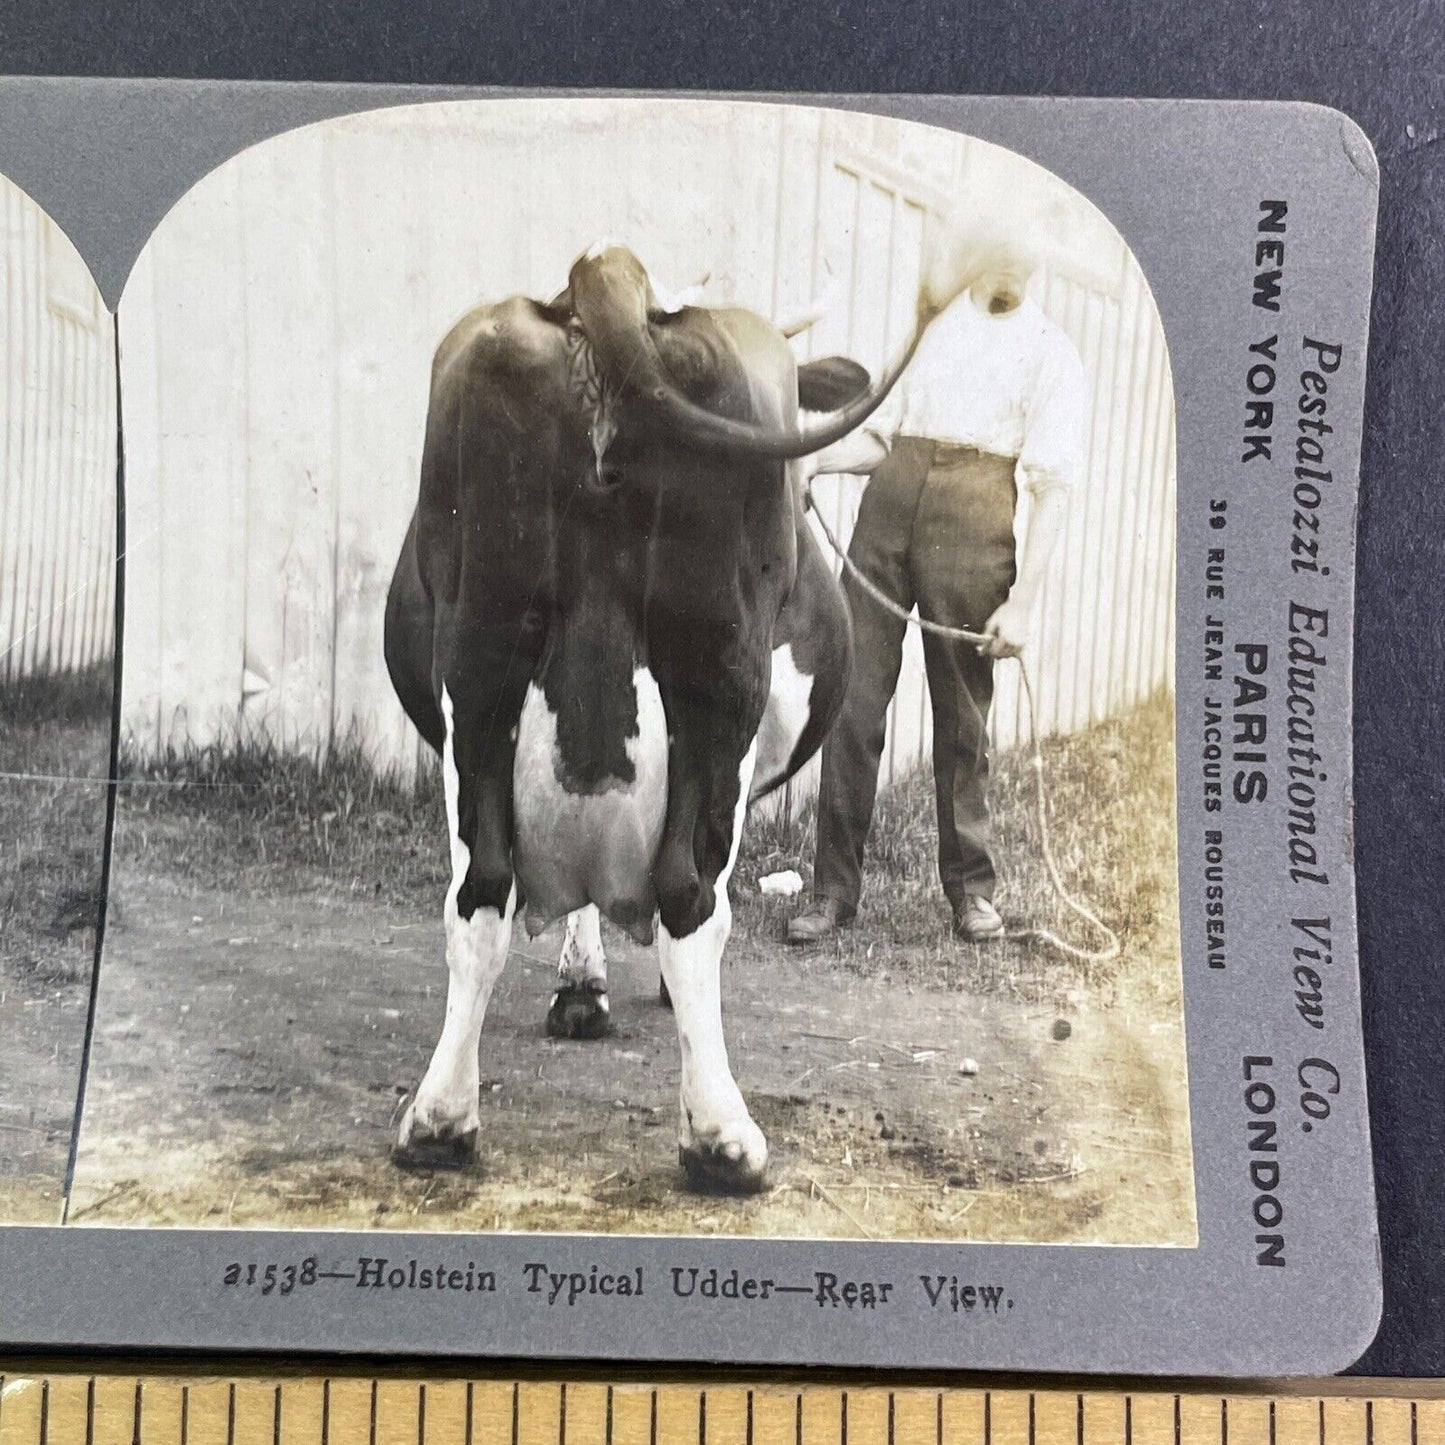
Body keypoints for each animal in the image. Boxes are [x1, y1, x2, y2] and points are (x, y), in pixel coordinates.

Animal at [384, 242, 919, 1190]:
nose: (884, 442)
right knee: (688, 895)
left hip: (480, 656)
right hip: (719, 668)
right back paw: (720, 1137)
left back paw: (440, 1122)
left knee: (479, 892)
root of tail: (607, 274)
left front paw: (579, 989)